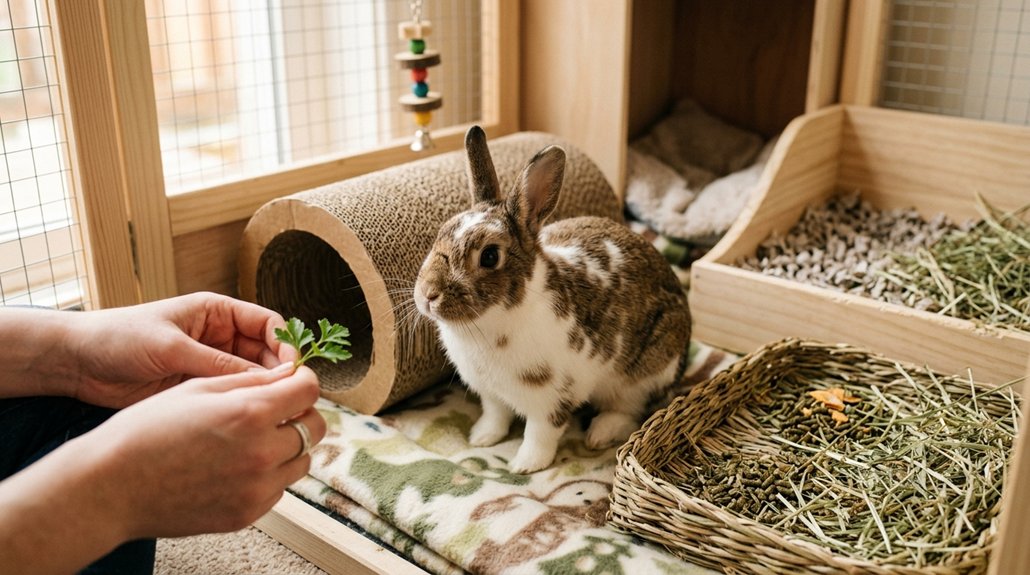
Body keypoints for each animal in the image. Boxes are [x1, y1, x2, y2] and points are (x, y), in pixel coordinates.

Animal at [413, 126, 692, 473]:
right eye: (440, 232)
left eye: (489, 256)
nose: (428, 294)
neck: (493, 322)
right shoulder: (490, 394)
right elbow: (495, 416)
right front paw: (481, 438)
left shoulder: (552, 400)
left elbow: (540, 433)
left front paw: (524, 465)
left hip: (643, 375)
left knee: (631, 412)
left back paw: (599, 434)